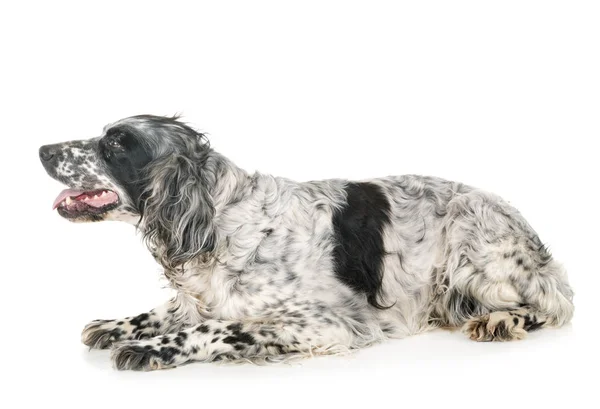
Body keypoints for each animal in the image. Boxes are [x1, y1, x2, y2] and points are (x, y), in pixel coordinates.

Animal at [39, 114, 576, 370]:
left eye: (114, 144)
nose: (42, 149)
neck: (220, 219)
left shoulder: (330, 322)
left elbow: (219, 329)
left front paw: (153, 348)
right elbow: (173, 310)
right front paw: (118, 325)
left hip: (473, 251)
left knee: (554, 306)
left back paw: (502, 320)